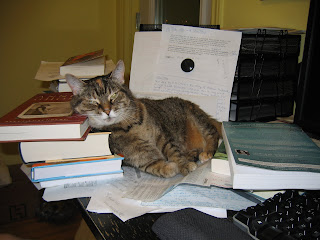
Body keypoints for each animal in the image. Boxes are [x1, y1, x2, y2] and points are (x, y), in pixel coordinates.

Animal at [65, 60, 220, 178]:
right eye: (92, 101)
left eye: (114, 95)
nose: (107, 111)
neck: (127, 126)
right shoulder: (137, 157)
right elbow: (154, 165)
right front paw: (170, 167)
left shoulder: (163, 136)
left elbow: (173, 151)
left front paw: (184, 164)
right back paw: (192, 154)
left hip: (196, 119)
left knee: (213, 134)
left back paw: (206, 152)